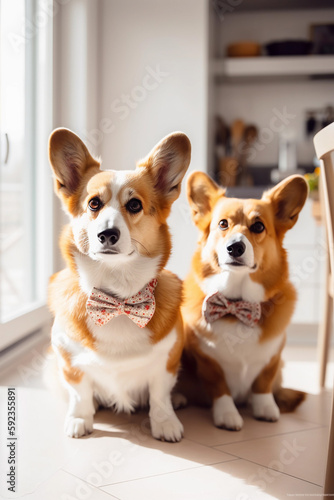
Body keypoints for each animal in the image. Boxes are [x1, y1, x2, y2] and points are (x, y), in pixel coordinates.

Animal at [48, 128, 192, 442]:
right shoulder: (69, 358)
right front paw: (80, 419)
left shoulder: (167, 360)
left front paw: (165, 423)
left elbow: (160, 395)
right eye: (94, 203)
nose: (107, 234)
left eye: (134, 205)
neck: (118, 299)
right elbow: (79, 393)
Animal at [183, 173, 308, 430]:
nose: (235, 247)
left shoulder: (273, 357)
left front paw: (266, 410)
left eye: (258, 226)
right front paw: (227, 416)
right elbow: (220, 388)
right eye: (223, 224)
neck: (236, 304)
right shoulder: (208, 362)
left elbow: (263, 384)